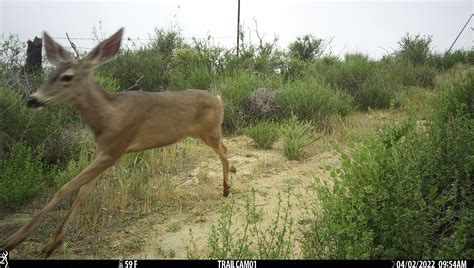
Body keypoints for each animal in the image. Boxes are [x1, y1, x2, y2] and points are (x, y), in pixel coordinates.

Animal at [0, 27, 236, 258]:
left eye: (67, 77)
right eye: (50, 74)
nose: (32, 100)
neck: (107, 118)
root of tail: (219, 98)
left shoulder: (115, 149)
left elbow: (66, 187)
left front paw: (14, 240)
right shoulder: (103, 151)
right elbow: (83, 191)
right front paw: (52, 243)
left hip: (209, 132)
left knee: (223, 151)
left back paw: (226, 188)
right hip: (207, 133)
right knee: (225, 149)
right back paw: (232, 174)